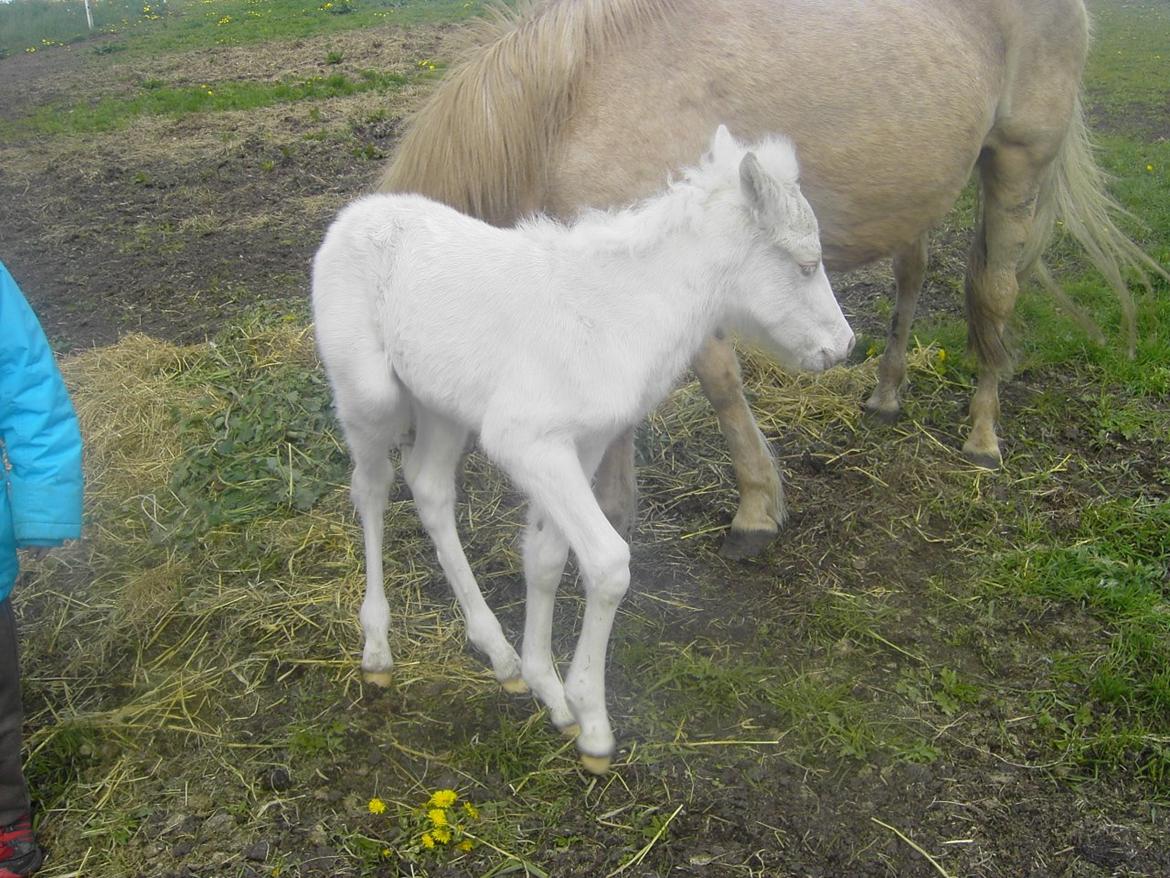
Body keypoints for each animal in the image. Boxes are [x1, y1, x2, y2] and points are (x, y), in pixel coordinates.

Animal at [315, 125, 856, 777]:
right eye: (805, 263)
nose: (844, 345)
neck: (615, 313)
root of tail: (354, 214)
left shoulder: (585, 442)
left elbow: (546, 557)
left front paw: (546, 688)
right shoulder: (529, 443)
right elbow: (606, 563)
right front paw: (591, 719)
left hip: (440, 405)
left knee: (429, 488)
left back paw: (498, 654)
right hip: (368, 394)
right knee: (371, 488)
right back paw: (377, 648)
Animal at [381, 0, 1160, 559]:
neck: (568, 108)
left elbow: (722, 385)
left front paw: (756, 509)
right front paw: (612, 509)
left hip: (1018, 163)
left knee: (995, 294)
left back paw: (983, 435)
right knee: (912, 276)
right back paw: (886, 394)